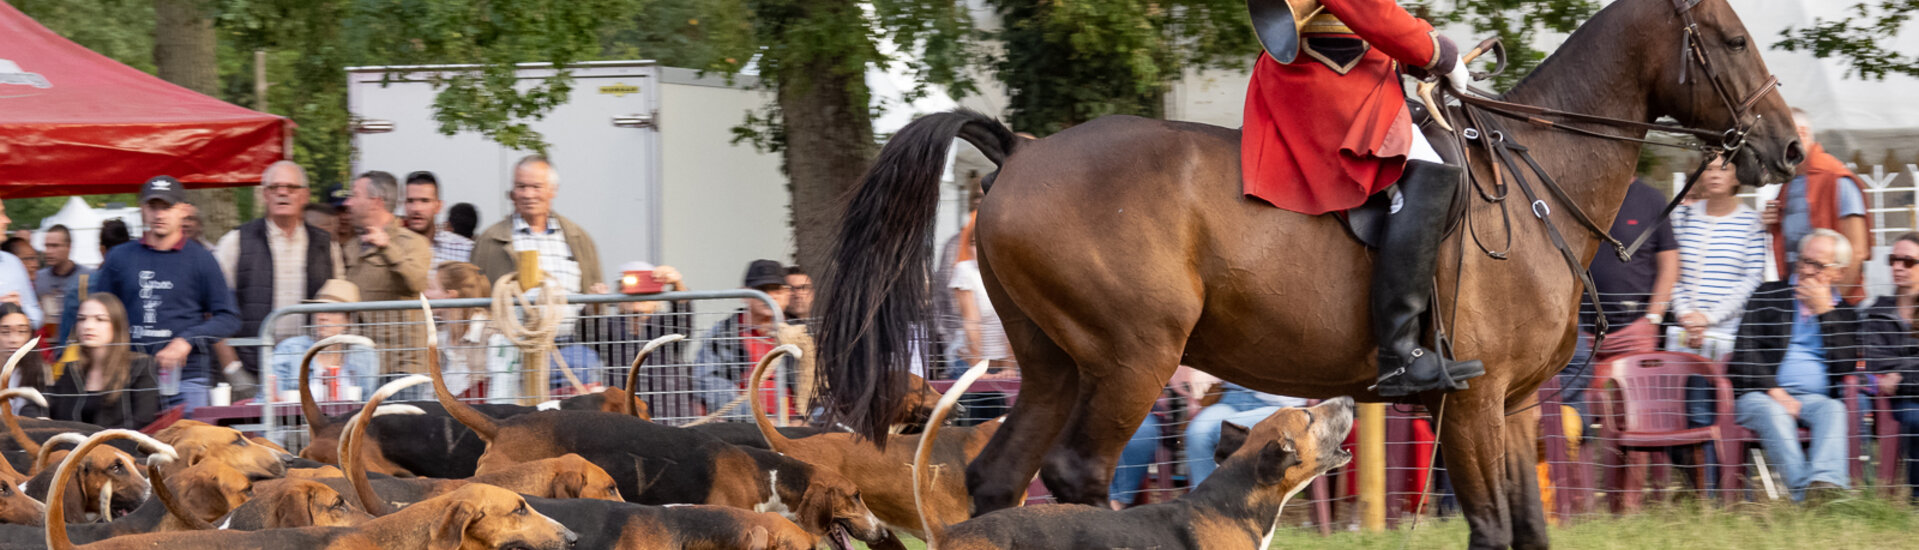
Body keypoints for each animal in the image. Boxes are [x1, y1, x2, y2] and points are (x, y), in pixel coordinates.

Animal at [813, 2, 1796, 548]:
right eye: (1729, 39)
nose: (1786, 150)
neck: (1535, 181)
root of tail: (1019, 150)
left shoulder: (1513, 409)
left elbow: (1528, 529)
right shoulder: (1470, 406)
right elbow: (1489, 528)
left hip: (1055, 364)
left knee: (998, 480)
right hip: (1131, 357)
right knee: (1079, 474)